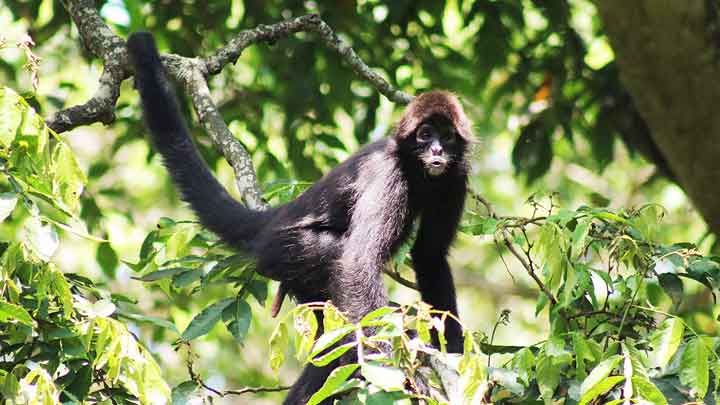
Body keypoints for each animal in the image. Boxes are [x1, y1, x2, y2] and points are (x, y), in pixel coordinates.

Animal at [126, 32, 473, 404]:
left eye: (446, 136)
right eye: (425, 135)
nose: (436, 151)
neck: (419, 172)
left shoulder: (456, 177)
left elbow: (429, 254)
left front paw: (453, 354)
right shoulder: (388, 170)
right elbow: (357, 262)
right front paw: (397, 372)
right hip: (286, 249)